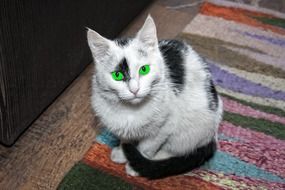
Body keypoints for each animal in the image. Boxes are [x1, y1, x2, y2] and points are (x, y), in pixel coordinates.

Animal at [86, 15, 222, 180]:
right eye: (117, 75)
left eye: (144, 69)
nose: (134, 89)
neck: (131, 111)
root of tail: (213, 137)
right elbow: (126, 138)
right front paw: (122, 152)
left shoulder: (165, 126)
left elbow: (148, 146)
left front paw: (135, 165)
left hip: (191, 129)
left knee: (178, 149)